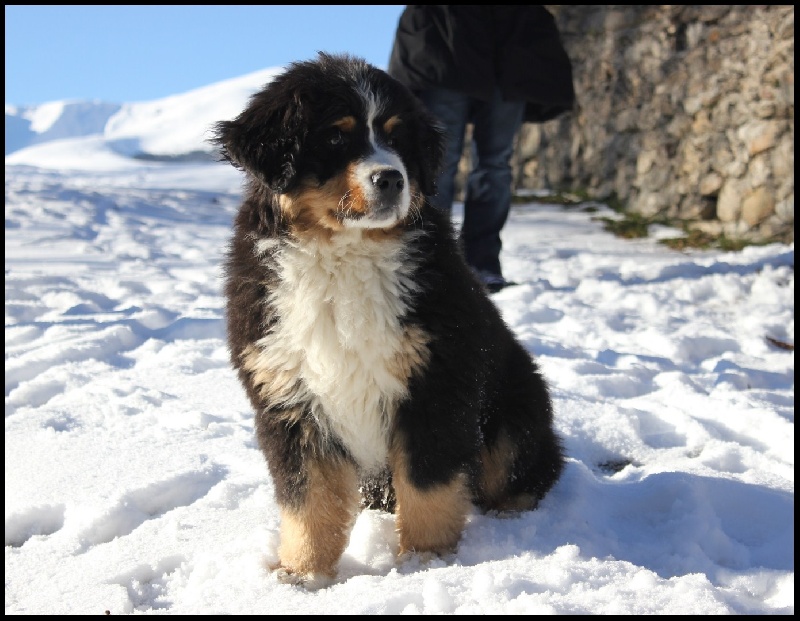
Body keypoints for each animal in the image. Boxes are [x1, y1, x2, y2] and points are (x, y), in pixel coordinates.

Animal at [211, 52, 564, 589]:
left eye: (398, 138)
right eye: (335, 137)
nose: (392, 178)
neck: (344, 256)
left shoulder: (436, 382)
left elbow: (428, 486)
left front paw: (425, 562)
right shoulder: (289, 395)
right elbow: (308, 499)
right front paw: (304, 575)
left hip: (515, 408)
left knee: (523, 468)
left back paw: (512, 512)